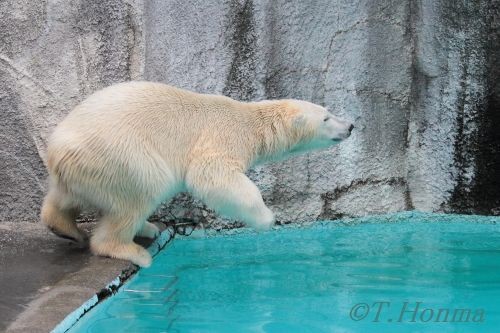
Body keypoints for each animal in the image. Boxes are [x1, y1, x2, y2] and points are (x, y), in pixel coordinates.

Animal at [40, 81, 352, 266]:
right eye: (326, 117)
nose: (350, 126)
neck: (252, 123)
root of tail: (58, 151)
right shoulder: (224, 136)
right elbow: (210, 174)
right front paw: (266, 219)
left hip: (83, 168)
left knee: (64, 197)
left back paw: (67, 227)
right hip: (121, 155)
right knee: (143, 190)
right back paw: (134, 249)